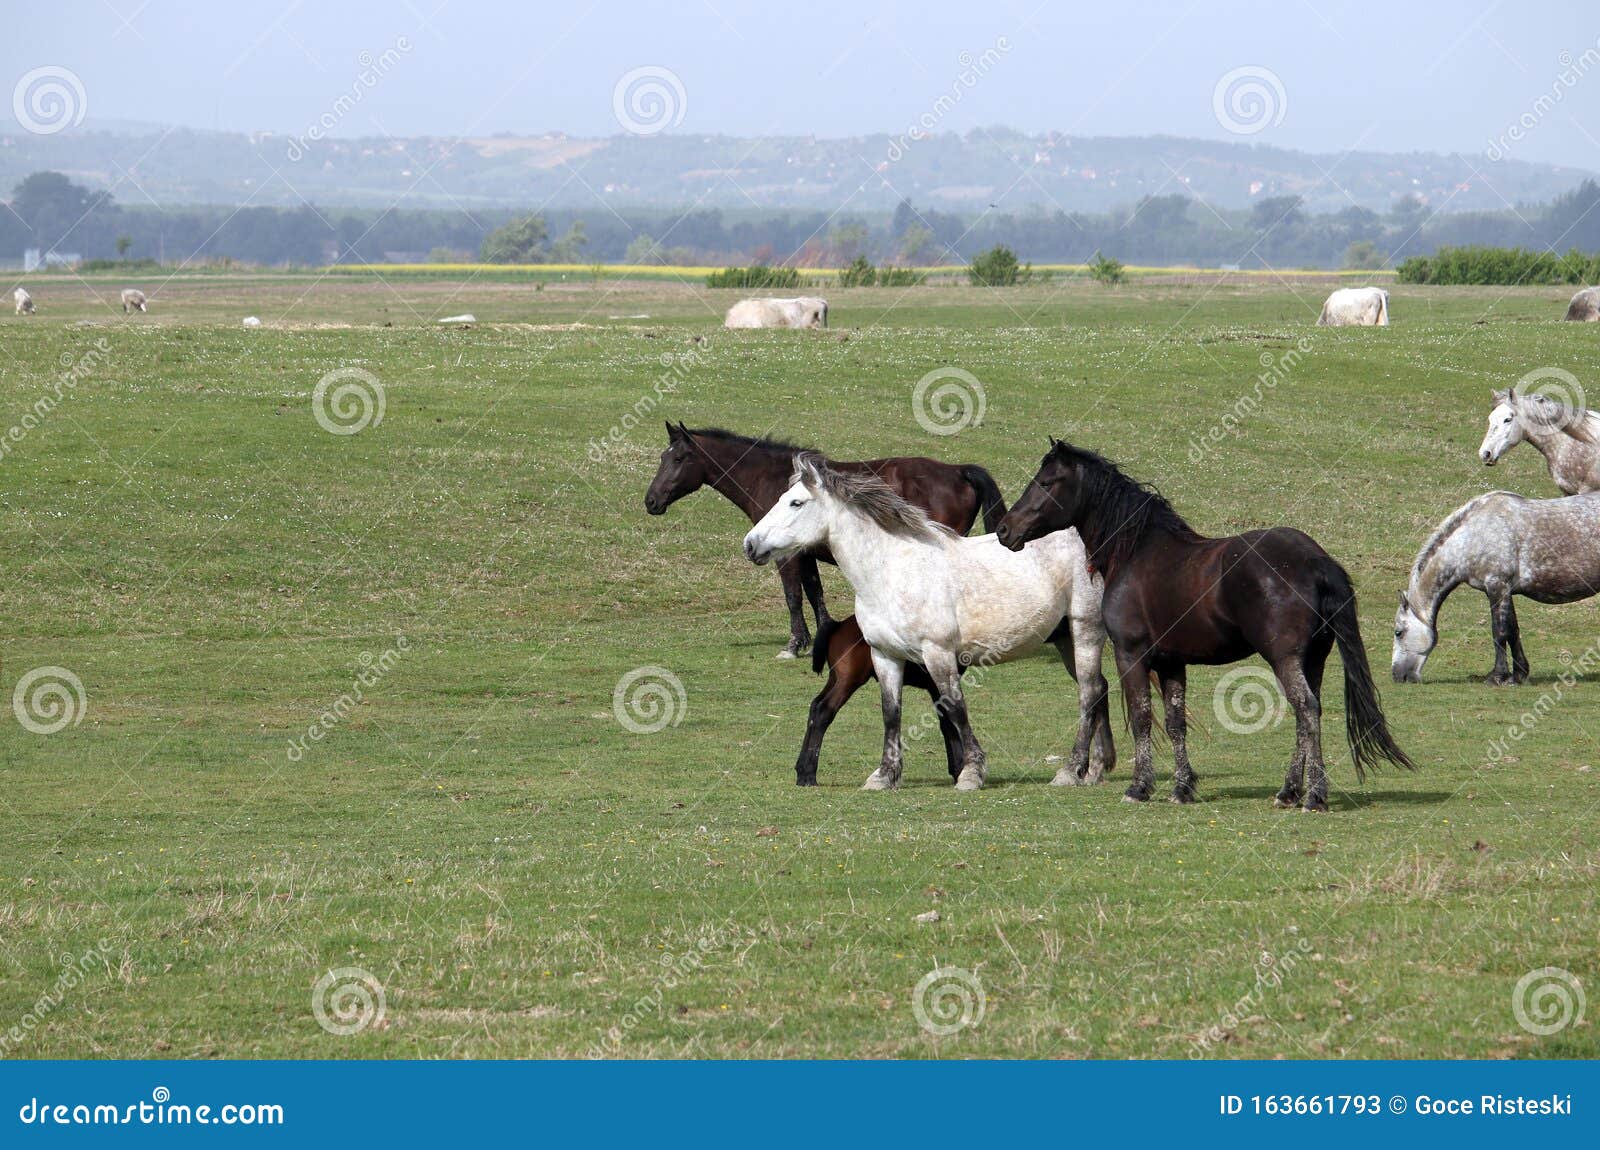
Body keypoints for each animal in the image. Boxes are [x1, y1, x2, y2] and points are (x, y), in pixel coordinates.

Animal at [998, 438, 1414, 809]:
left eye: (1046, 482)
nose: (1004, 530)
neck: (1136, 553)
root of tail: (1315, 560)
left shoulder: (1131, 656)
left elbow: (1142, 717)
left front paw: (1139, 787)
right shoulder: (1171, 663)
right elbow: (1175, 722)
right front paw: (1182, 788)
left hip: (1284, 658)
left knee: (1306, 710)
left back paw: (1313, 795)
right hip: (1313, 660)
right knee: (1307, 713)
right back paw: (1288, 792)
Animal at [1388, 489, 1600, 687]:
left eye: (1399, 632)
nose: (1397, 676)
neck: (1473, 536)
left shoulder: (1497, 586)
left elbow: (1499, 632)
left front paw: (1497, 676)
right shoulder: (1505, 591)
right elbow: (1513, 631)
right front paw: (1518, 675)